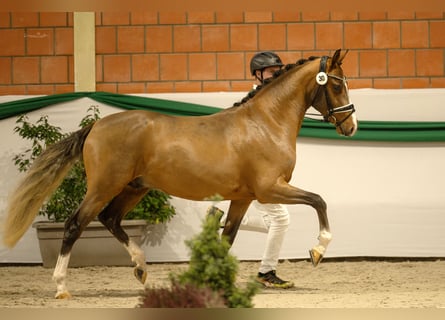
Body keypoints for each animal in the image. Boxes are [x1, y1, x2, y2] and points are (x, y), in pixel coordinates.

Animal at [1, 47, 356, 298]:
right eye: (337, 84)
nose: (351, 126)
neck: (265, 123)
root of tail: (96, 126)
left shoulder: (244, 198)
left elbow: (227, 237)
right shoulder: (270, 189)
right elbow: (319, 200)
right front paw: (318, 250)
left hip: (134, 187)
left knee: (110, 219)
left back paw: (141, 269)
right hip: (104, 186)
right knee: (75, 224)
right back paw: (62, 286)